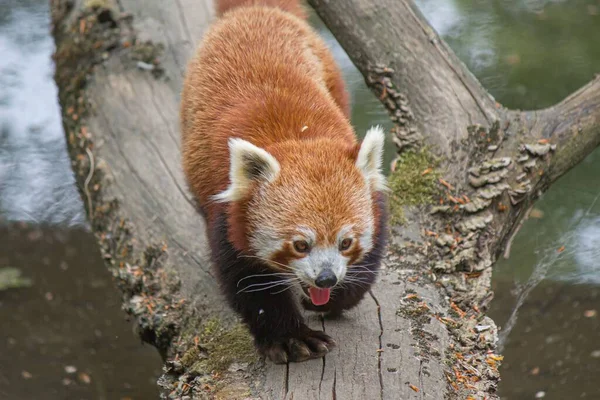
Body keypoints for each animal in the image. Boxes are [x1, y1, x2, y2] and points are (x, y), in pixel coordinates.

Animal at [180, 0, 386, 364]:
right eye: (300, 245)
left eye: (346, 242)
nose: (326, 278)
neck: (297, 138)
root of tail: (255, 10)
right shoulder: (230, 212)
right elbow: (249, 283)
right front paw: (292, 338)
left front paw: (336, 299)